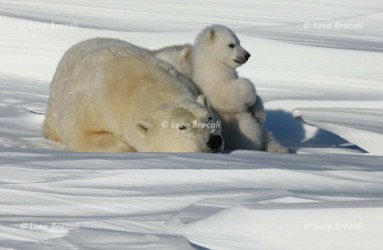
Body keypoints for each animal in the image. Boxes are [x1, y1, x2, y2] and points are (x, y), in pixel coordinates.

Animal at [192, 24, 288, 152]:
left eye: (239, 42)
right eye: (231, 44)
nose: (247, 55)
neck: (212, 63)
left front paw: (259, 114)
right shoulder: (213, 81)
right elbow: (231, 96)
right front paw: (251, 98)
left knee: (268, 135)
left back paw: (280, 149)